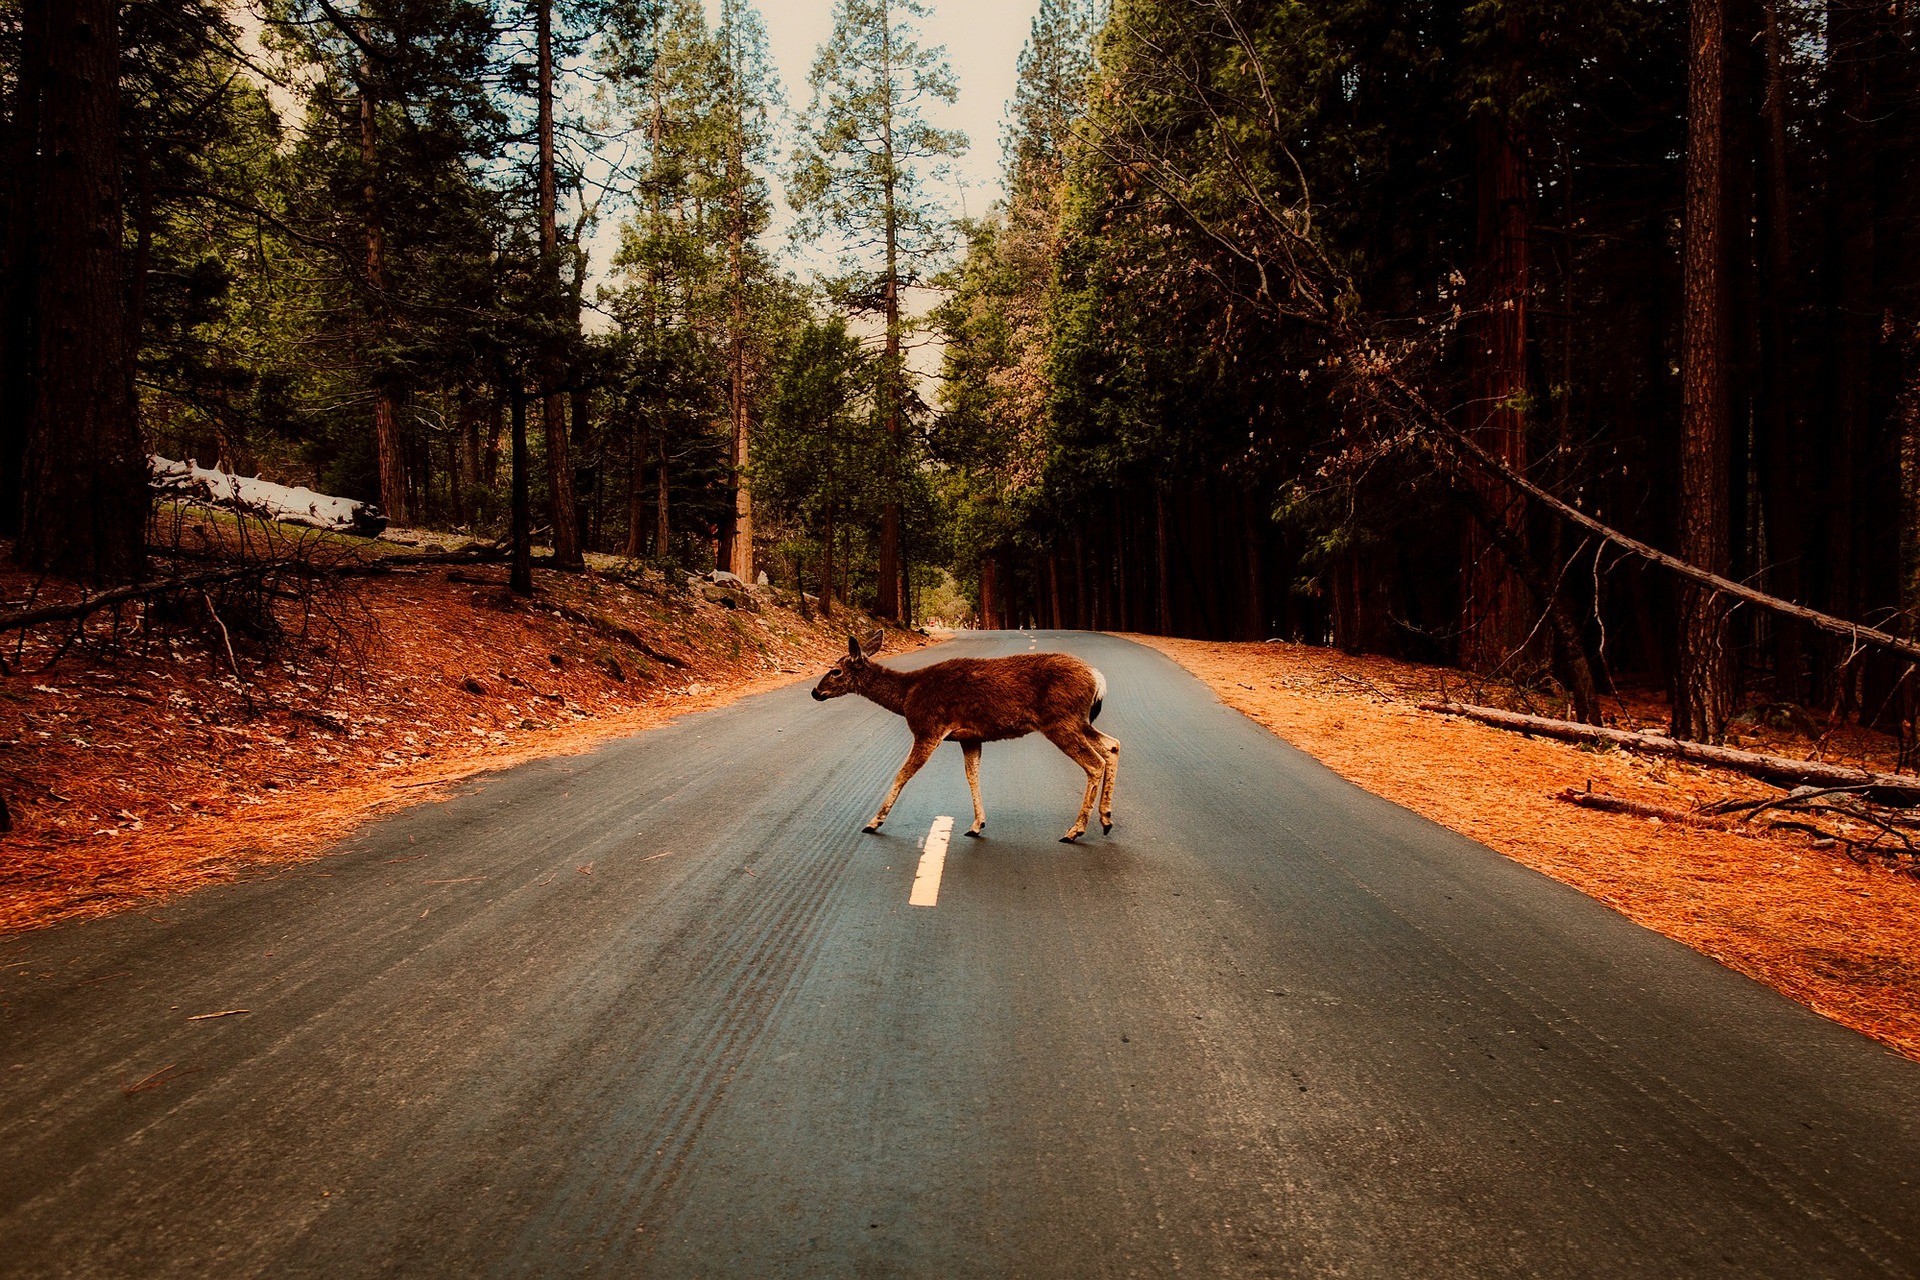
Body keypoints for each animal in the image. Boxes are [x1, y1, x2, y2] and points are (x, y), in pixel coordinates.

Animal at [814, 629, 1121, 840]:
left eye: (836, 671)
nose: (816, 692)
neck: (906, 696)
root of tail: (1098, 678)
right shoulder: (969, 737)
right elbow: (972, 774)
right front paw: (977, 825)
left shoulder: (928, 728)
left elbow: (902, 774)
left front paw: (873, 822)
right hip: (1078, 721)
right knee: (1112, 745)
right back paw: (1105, 820)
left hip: (1060, 721)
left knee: (1095, 763)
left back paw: (1075, 830)